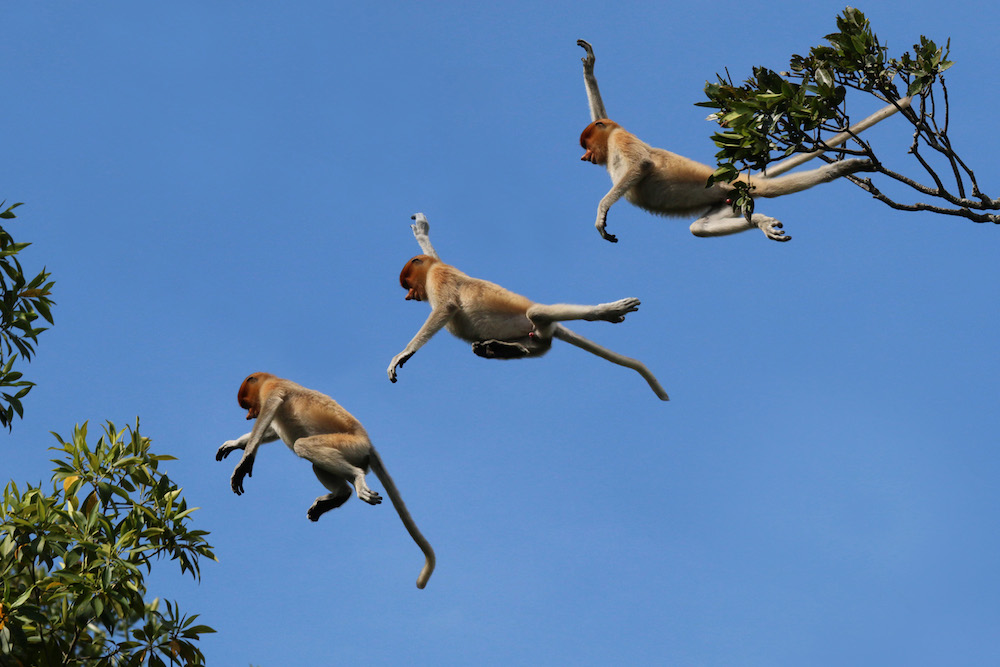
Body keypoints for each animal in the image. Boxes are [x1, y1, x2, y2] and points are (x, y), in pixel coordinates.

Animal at [216, 372, 435, 588]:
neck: (271, 379)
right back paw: (339, 496)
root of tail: (368, 444)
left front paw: (244, 463)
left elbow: (269, 413)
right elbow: (271, 430)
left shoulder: (272, 390)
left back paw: (357, 480)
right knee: (317, 465)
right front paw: (233, 444)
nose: (248, 415)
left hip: (350, 445)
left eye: (247, 403)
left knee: (302, 446)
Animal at [387, 214, 669, 401]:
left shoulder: (439, 277)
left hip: (534, 319)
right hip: (534, 337)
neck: (431, 270)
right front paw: (422, 231)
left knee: (537, 313)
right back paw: (497, 348)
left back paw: (608, 311)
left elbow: (445, 308)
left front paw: (402, 355)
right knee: (537, 344)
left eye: (408, 283)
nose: (409, 296)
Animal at [577, 39, 908, 243]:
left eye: (587, 145)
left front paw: (601, 215)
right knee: (700, 228)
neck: (610, 142)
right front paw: (589, 65)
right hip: (726, 199)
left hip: (736, 188)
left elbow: (641, 165)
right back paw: (761, 221)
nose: (585, 158)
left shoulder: (620, 138)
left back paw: (844, 168)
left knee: (773, 189)